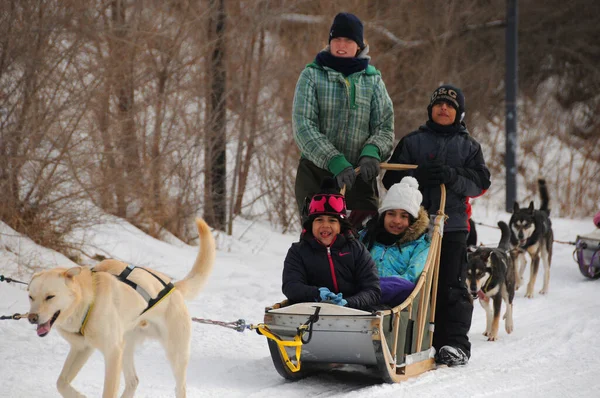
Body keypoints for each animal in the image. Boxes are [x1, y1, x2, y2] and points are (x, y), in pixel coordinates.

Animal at [28, 219, 216, 396]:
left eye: (50, 297)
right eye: (31, 297)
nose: (32, 318)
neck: (90, 302)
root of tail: (174, 287)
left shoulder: (112, 352)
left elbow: (108, 391)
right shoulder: (82, 349)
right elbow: (61, 383)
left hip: (174, 354)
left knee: (180, 387)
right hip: (126, 347)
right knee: (133, 381)